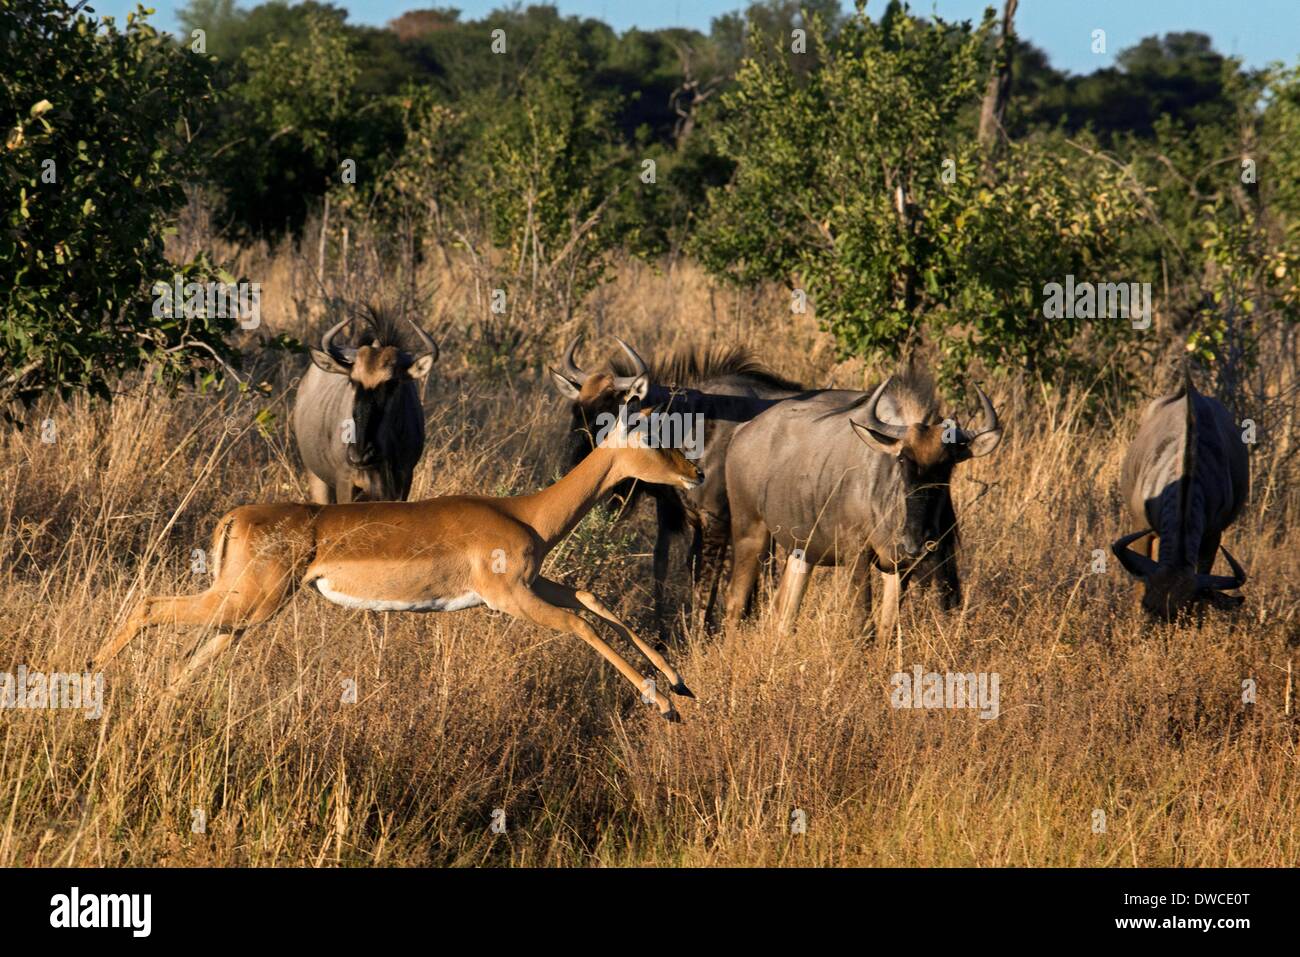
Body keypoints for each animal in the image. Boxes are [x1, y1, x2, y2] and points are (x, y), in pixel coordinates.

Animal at [93, 388, 702, 720]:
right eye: (653, 436)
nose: (694, 473)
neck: (526, 513)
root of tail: (235, 517)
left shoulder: (532, 583)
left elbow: (591, 598)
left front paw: (680, 683)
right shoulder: (507, 597)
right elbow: (580, 624)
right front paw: (665, 705)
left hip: (242, 612)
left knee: (183, 658)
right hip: (250, 602)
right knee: (149, 606)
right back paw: (88, 679)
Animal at [293, 307, 438, 504]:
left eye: (392, 383)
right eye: (352, 380)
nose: (359, 455)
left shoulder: (404, 480)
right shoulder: (345, 481)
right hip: (316, 477)